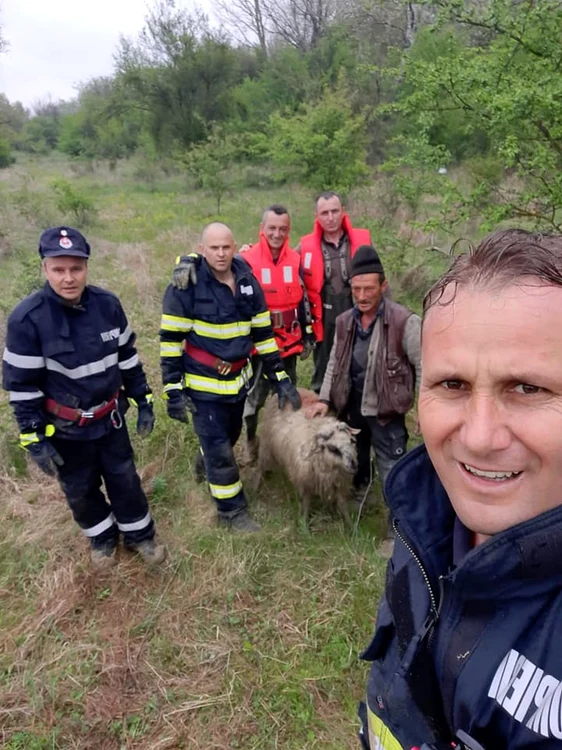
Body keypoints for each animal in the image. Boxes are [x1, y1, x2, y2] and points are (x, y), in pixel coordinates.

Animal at [256, 390, 356, 524]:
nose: (353, 465)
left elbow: (342, 503)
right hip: (266, 445)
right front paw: (304, 523)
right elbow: (305, 503)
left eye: (351, 441)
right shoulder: (304, 481)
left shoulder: (338, 482)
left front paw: (350, 525)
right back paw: (255, 488)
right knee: (260, 466)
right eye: (333, 448)